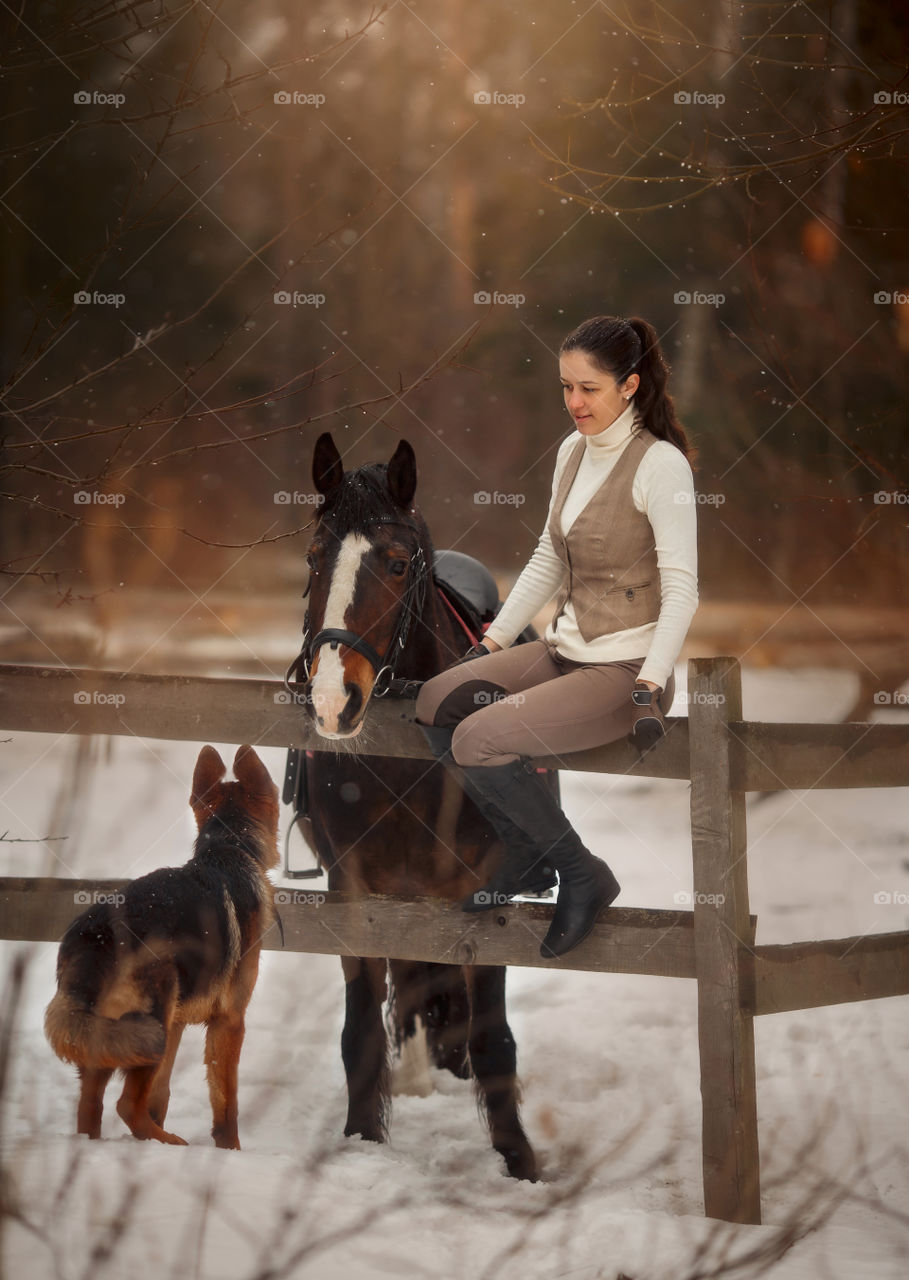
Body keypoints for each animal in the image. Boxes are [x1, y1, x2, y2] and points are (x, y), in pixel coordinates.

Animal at [46, 747, 279, 1146]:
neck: (229, 847)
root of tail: (97, 932)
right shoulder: (229, 1022)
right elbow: (226, 1101)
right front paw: (229, 1149)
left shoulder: (179, 1023)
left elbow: (162, 1093)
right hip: (153, 1021)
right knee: (126, 1105)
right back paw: (171, 1142)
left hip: (115, 1035)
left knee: (90, 1106)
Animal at [286, 430, 540, 1177]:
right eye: (313, 558)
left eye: (398, 566)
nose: (332, 701)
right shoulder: (356, 893)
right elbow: (361, 1033)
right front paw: (362, 1139)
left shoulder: (483, 899)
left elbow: (494, 1039)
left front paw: (520, 1164)